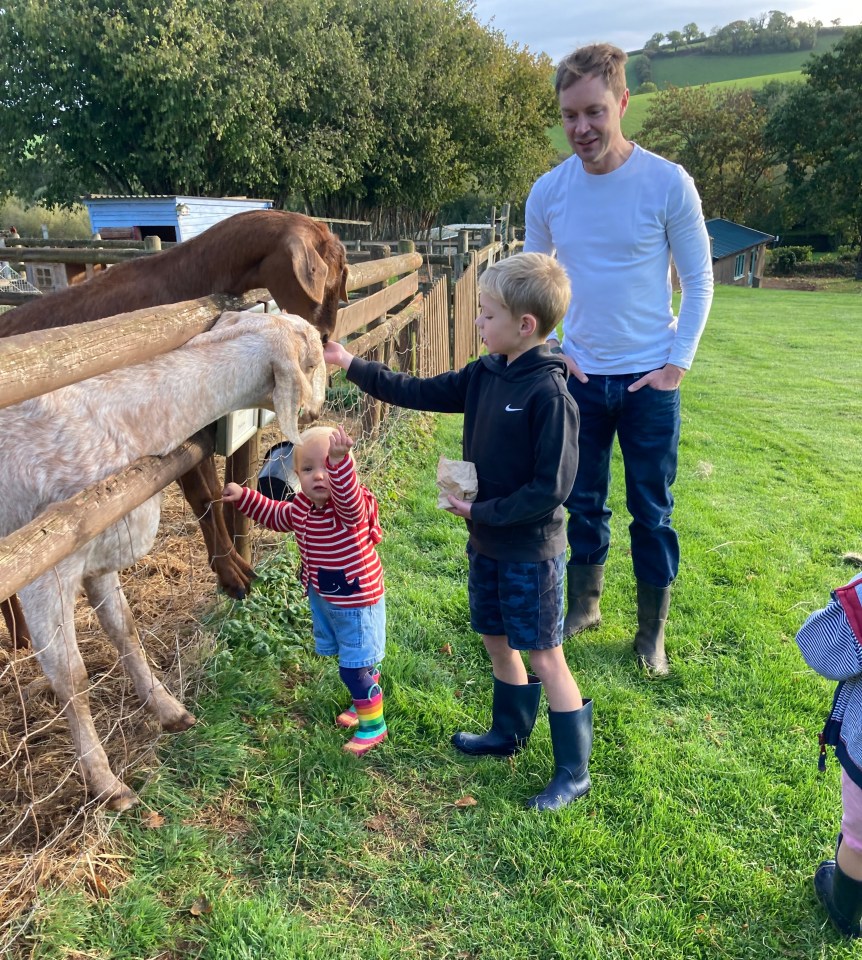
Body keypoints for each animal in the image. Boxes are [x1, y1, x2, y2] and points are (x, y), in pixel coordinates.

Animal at [0, 310, 324, 808]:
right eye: (314, 357)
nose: (320, 405)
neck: (127, 417)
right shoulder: (47, 568)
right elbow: (71, 678)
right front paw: (106, 783)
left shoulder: (100, 554)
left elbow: (125, 629)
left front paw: (168, 709)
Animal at [4, 208, 348, 644]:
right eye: (329, 277)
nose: (326, 337)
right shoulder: (168, 426)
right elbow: (201, 496)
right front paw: (232, 577)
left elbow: (215, 493)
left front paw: (236, 567)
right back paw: (21, 637)